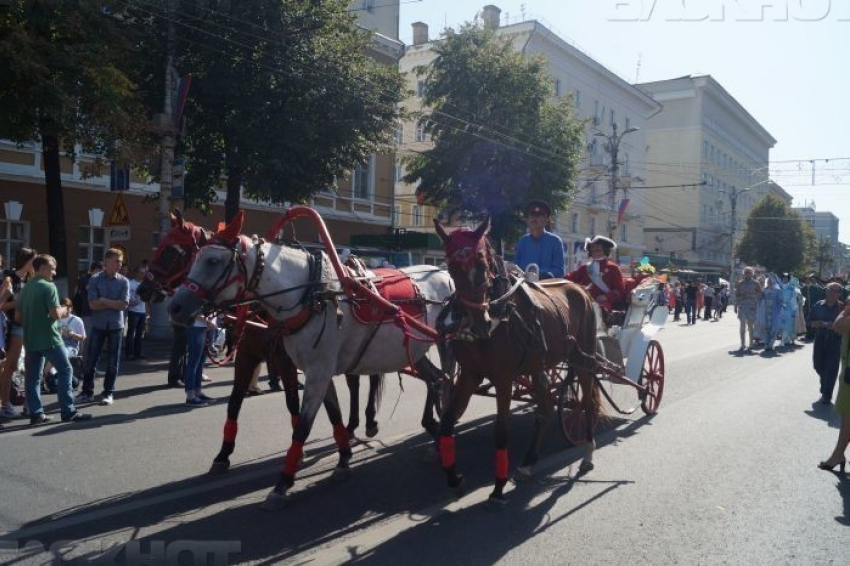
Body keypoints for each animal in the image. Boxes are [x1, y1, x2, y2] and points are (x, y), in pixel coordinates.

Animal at [138, 211, 380, 478]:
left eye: (172, 250)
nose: (143, 290)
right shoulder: (246, 356)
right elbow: (234, 402)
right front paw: (223, 454)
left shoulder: (288, 362)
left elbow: (292, 402)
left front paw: (299, 450)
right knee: (355, 382)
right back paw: (352, 425)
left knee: (371, 378)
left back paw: (369, 421)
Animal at [168, 214, 454, 516]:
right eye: (194, 257)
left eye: (212, 261)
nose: (175, 307)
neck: (312, 296)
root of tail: (444, 273)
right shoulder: (316, 371)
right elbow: (334, 415)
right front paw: (343, 460)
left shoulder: (317, 373)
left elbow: (302, 426)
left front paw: (282, 483)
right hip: (416, 350)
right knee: (436, 379)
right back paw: (433, 428)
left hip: (446, 345)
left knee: (447, 380)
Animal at [434, 217, 600, 506]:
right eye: (451, 266)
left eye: (482, 262)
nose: (479, 323)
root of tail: (581, 288)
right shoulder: (470, 374)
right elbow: (446, 423)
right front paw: (455, 478)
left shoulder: (503, 379)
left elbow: (501, 432)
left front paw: (498, 488)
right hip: (539, 367)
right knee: (544, 411)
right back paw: (528, 463)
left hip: (583, 359)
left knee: (587, 402)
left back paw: (587, 453)